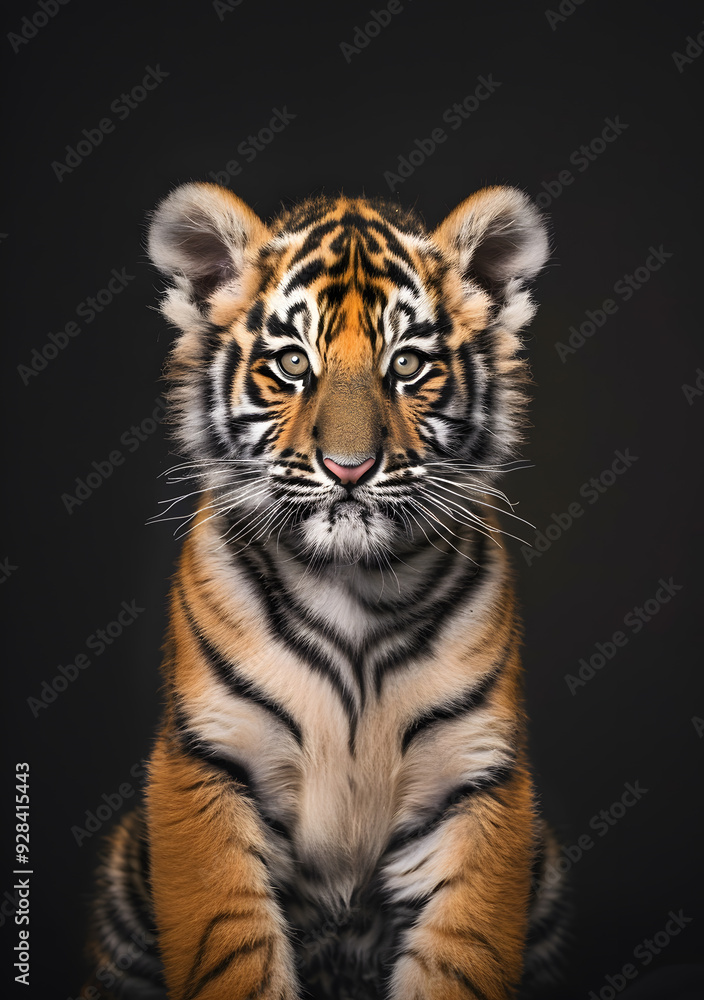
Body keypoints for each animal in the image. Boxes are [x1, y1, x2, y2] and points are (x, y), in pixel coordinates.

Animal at [80, 181, 570, 1000]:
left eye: (408, 364)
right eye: (289, 362)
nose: (349, 468)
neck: (353, 586)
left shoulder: (477, 781)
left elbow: (459, 960)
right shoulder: (204, 763)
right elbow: (231, 950)